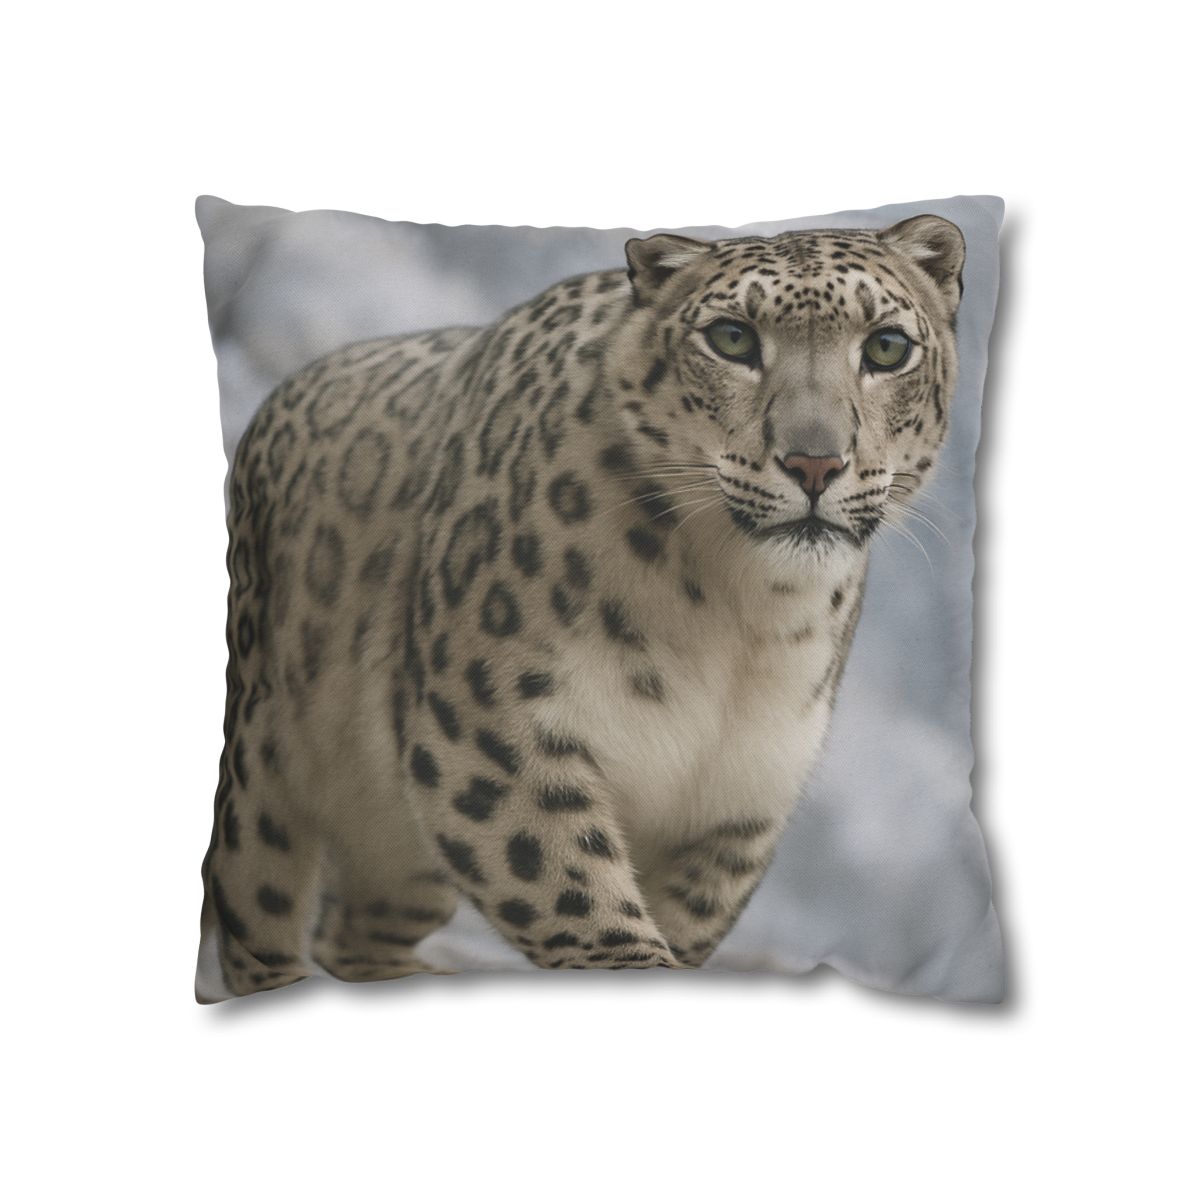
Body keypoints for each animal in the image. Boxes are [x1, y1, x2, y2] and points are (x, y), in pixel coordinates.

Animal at [196, 214, 966, 1000]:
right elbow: (578, 894)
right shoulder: (490, 728)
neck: (741, 616)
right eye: (731, 339)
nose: (816, 463)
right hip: (262, 771)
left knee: (356, 930)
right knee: (258, 918)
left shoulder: (740, 796)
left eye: (886, 347)